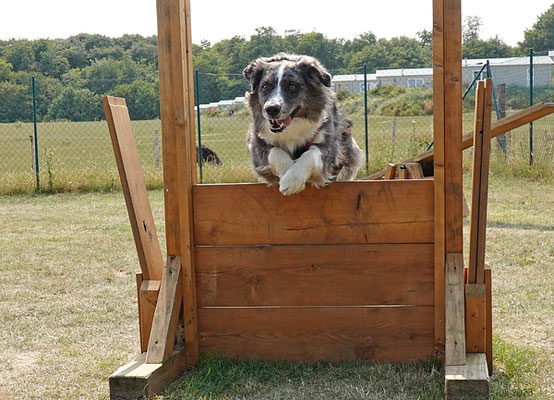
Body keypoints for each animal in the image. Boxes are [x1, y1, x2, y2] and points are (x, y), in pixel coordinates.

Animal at [242, 53, 362, 197]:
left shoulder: (331, 145)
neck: (292, 127)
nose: (271, 109)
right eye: (265, 86)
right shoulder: (258, 146)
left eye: (292, 87)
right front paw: (287, 174)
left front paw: (292, 180)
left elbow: (312, 153)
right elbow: (275, 151)